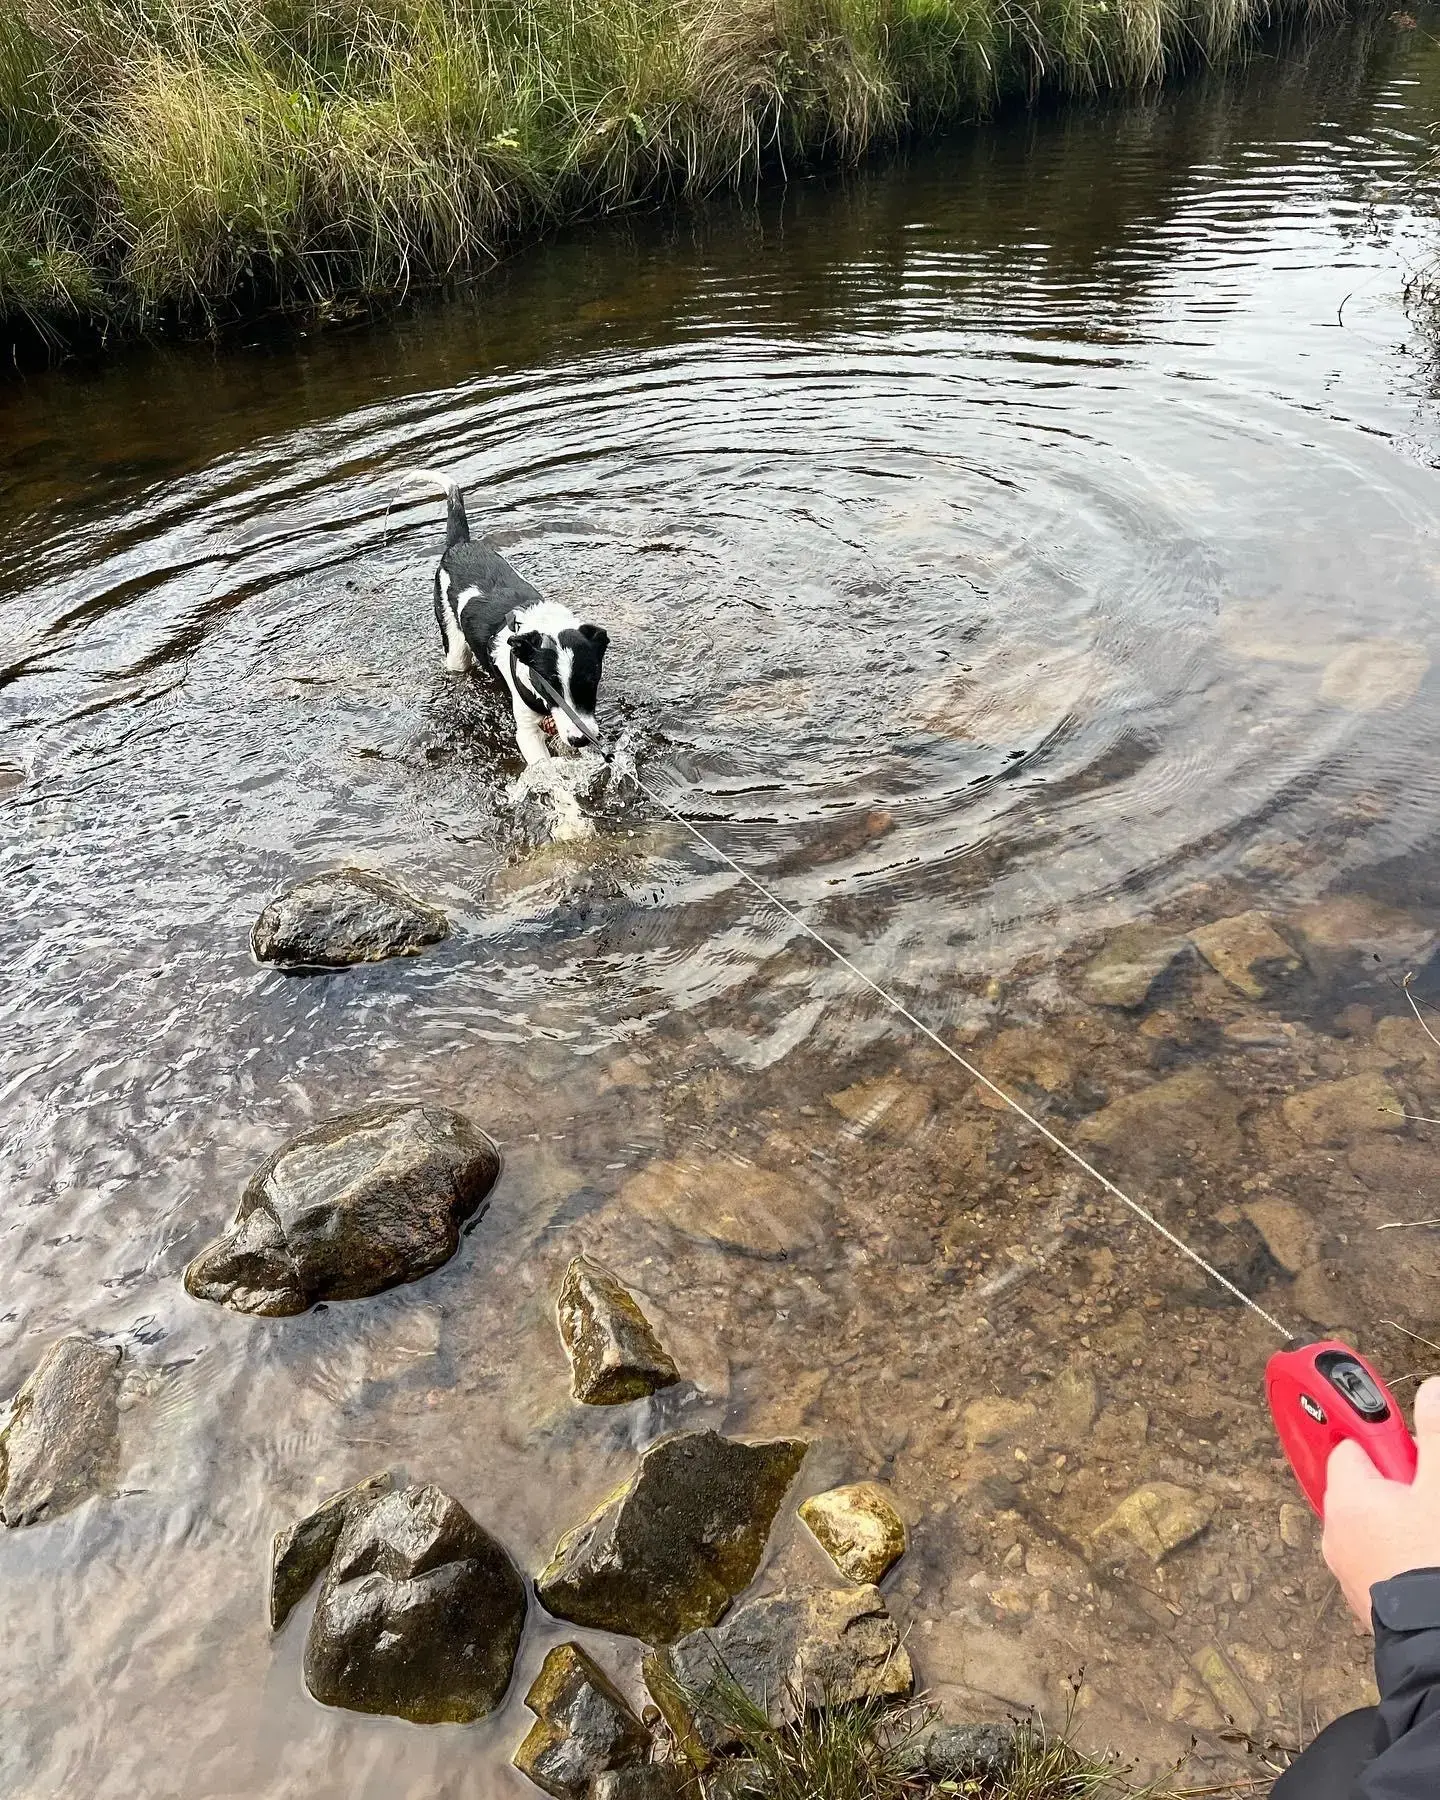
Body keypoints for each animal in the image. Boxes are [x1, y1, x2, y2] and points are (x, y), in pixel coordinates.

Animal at [405, 468, 608, 763]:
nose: (579, 739)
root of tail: (459, 545)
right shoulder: (527, 731)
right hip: (454, 645)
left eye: (591, 681)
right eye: (549, 688)